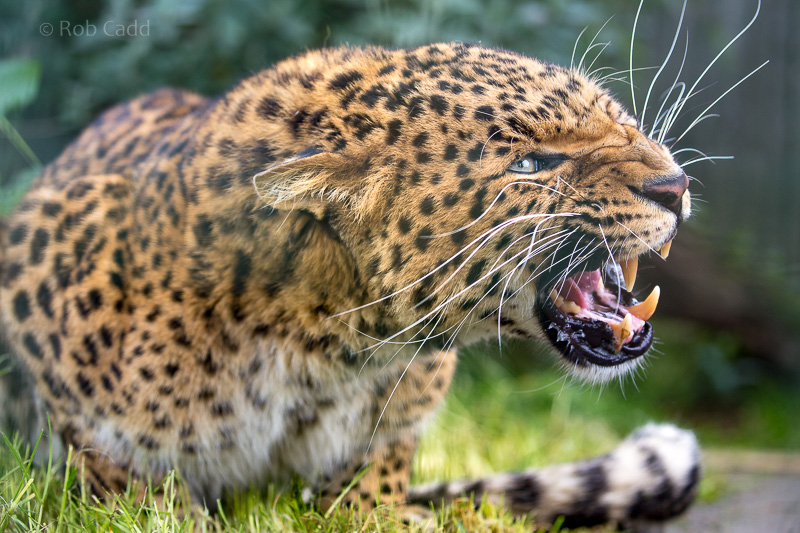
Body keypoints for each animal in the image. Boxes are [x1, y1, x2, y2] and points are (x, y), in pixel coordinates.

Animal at [0, 42, 700, 529]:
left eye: (621, 120)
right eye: (530, 164)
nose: (675, 186)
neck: (318, 350)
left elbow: (374, 482)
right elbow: (133, 487)